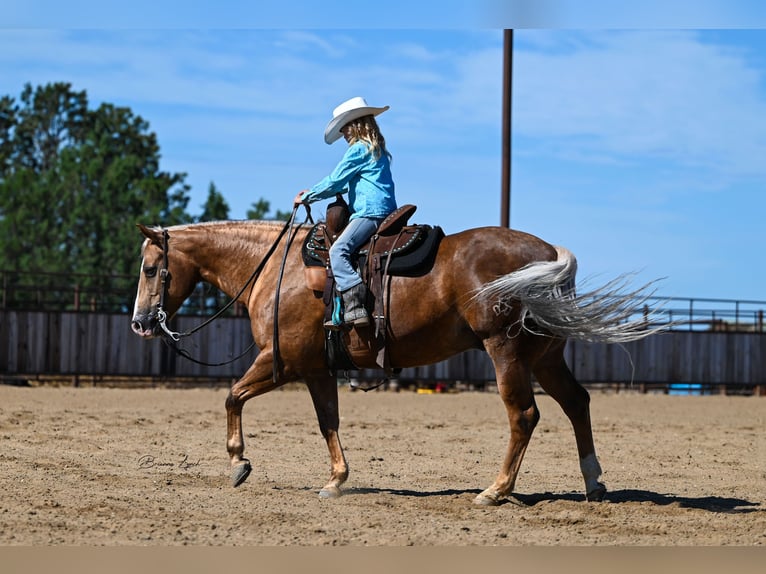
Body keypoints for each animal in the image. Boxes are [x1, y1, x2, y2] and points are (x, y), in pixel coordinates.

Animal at [132, 218, 664, 506]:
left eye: (152, 268)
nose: (139, 323)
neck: (276, 268)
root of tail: (550, 252)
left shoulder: (281, 361)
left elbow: (232, 396)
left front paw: (239, 462)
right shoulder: (317, 370)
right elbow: (328, 421)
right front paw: (336, 481)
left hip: (506, 352)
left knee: (524, 415)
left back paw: (494, 490)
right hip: (546, 357)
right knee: (577, 403)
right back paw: (593, 482)